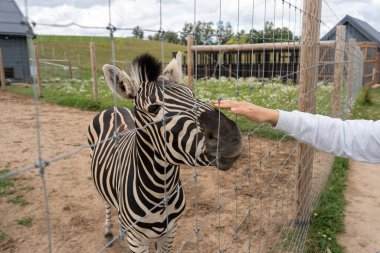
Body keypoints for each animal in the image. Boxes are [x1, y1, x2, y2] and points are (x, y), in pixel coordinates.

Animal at [87, 52, 242, 252]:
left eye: (192, 95)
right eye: (154, 109)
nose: (231, 137)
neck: (161, 190)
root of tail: (114, 108)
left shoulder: (170, 232)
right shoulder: (137, 240)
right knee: (106, 203)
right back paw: (108, 232)